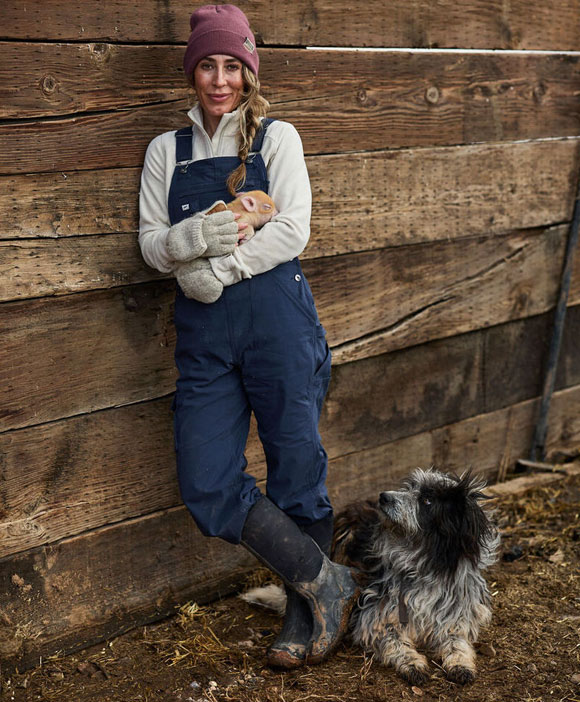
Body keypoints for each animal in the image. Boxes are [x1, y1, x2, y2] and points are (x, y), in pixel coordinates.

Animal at [334, 470, 500, 684]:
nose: (383, 497)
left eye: (427, 500)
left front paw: (461, 664)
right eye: (410, 488)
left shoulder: (455, 616)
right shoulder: (374, 617)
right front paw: (412, 664)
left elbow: (457, 641)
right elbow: (395, 642)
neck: (422, 565)